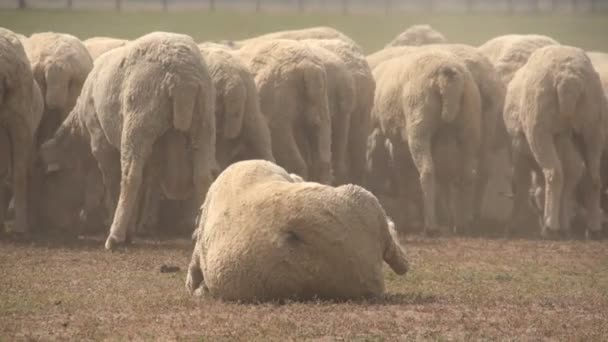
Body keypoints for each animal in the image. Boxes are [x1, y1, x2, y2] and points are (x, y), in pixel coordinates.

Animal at [35, 31, 216, 248]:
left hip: (138, 123)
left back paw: (115, 235)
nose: (50, 223)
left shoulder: (100, 140)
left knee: (130, 177)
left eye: (50, 180)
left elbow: (113, 180)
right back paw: (198, 233)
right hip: (203, 121)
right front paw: (138, 226)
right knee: (202, 176)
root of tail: (182, 77)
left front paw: (125, 227)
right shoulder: (156, 149)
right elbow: (150, 179)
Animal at [504, 44, 608, 238]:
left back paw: (550, 227)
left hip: (539, 128)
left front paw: (514, 224)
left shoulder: (518, 148)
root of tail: (570, 79)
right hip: (593, 128)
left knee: (554, 173)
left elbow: (520, 184)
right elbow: (572, 172)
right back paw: (592, 228)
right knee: (592, 177)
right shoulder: (564, 137)